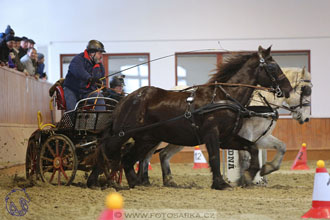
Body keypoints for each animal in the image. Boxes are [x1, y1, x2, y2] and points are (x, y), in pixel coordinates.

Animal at [87, 46, 292, 189]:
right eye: (273, 66)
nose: (288, 89)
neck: (224, 97)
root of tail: (126, 99)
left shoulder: (228, 138)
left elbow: (252, 148)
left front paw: (252, 174)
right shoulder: (212, 134)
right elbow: (214, 158)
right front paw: (220, 183)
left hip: (146, 139)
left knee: (127, 158)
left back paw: (133, 183)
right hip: (125, 135)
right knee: (106, 150)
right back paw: (95, 181)